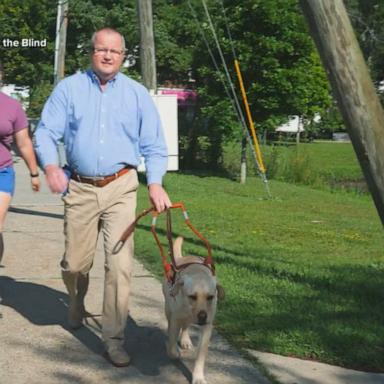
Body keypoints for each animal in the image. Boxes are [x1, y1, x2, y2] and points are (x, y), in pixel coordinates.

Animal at [163, 236, 225, 382]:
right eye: (192, 296)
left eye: (210, 297)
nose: (202, 317)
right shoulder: (175, 319)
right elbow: (172, 347)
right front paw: (174, 351)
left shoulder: (207, 327)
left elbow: (201, 356)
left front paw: (198, 377)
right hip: (168, 309)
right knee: (172, 324)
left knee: (185, 326)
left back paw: (185, 340)